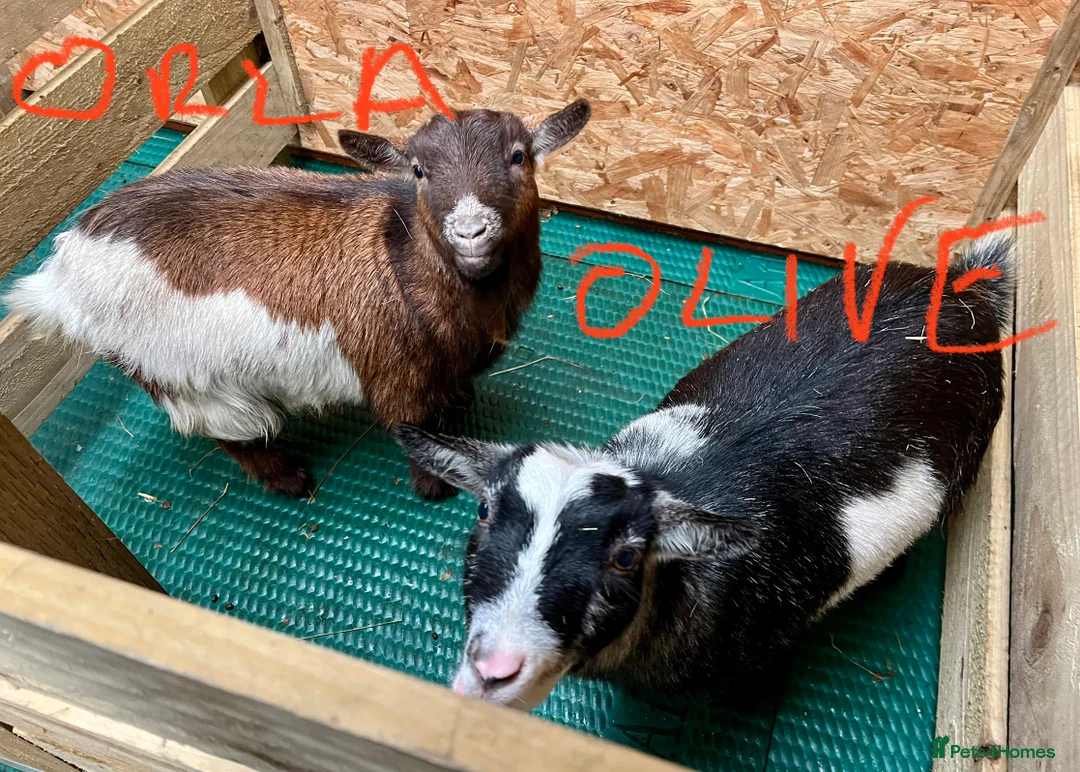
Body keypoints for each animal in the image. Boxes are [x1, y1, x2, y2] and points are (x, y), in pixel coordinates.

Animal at [4, 100, 591, 499]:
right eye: (419, 171)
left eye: (519, 157)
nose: (470, 232)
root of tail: (62, 273)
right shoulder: (400, 378)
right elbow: (415, 432)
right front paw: (433, 488)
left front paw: (464, 405)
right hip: (182, 375)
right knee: (228, 431)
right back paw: (289, 478)